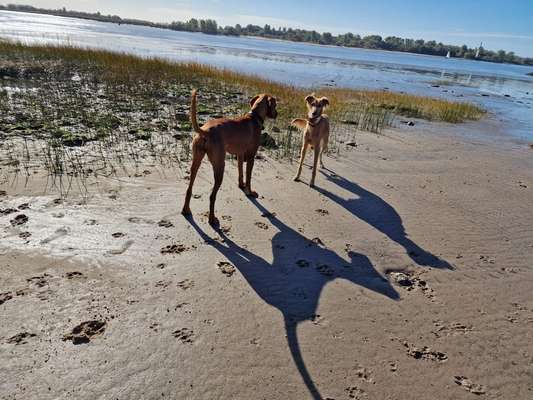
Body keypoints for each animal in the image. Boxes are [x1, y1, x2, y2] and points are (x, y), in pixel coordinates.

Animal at [182, 89, 276, 225]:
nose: (277, 114)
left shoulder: (240, 155)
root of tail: (205, 131)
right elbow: (248, 177)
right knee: (212, 196)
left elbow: (241, 173)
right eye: (275, 105)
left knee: (189, 188)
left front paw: (241, 186)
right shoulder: (251, 156)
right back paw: (212, 219)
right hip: (220, 166)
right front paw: (250, 192)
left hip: (196, 162)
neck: (254, 117)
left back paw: (186, 210)